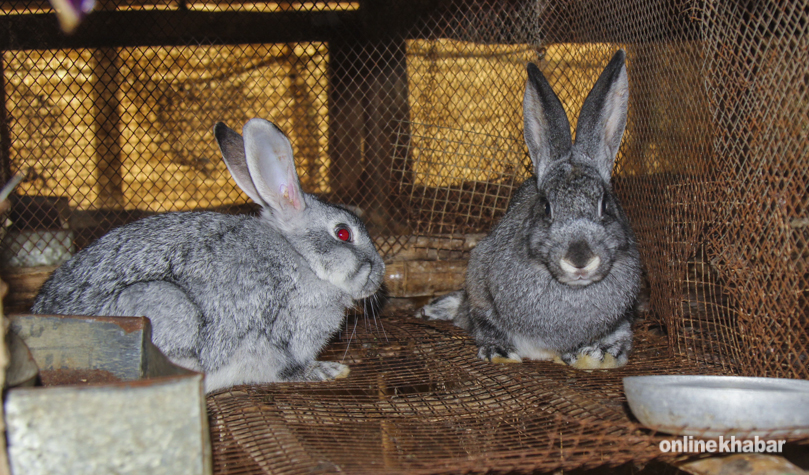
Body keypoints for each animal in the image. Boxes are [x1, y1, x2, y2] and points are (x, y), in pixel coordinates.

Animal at [32, 118, 386, 392]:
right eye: (343, 233)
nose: (380, 273)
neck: (303, 259)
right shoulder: (279, 337)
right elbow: (288, 368)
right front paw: (327, 370)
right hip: (165, 305)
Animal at [420, 50, 642, 370]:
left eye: (605, 205)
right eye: (546, 207)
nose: (580, 259)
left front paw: (599, 355)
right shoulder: (480, 284)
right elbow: (485, 323)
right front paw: (499, 352)